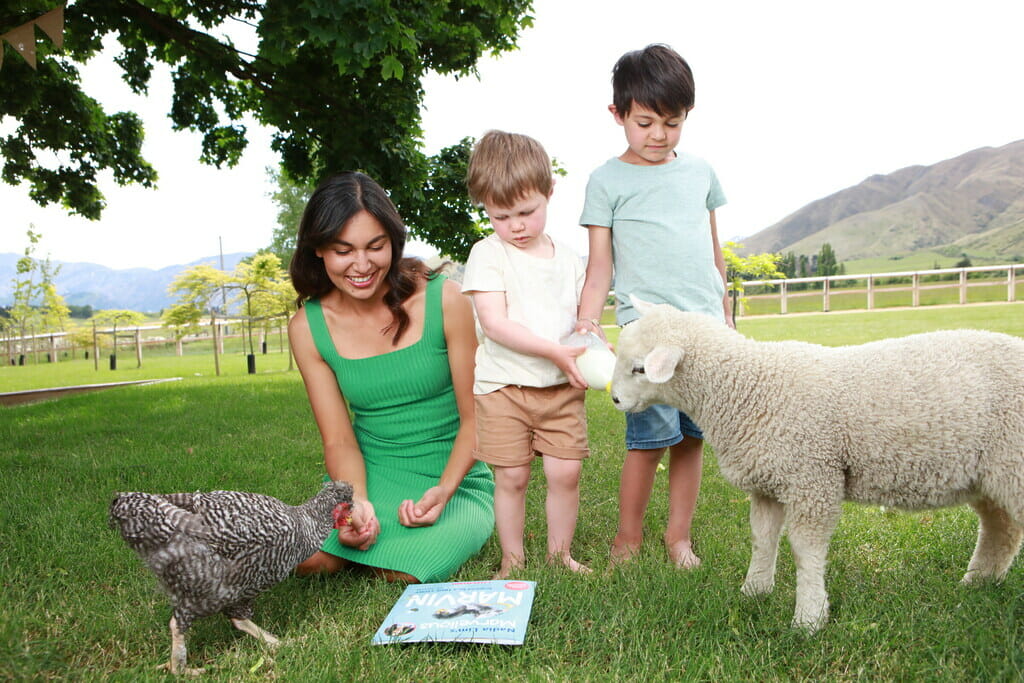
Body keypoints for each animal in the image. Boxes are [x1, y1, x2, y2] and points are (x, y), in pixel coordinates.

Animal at [606, 301, 1024, 634]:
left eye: (640, 369)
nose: (614, 400)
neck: (749, 387)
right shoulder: (769, 483)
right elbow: (762, 540)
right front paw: (753, 592)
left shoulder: (812, 477)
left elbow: (805, 551)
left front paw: (809, 617)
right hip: (991, 475)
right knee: (1001, 528)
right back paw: (978, 583)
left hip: (1013, 463)